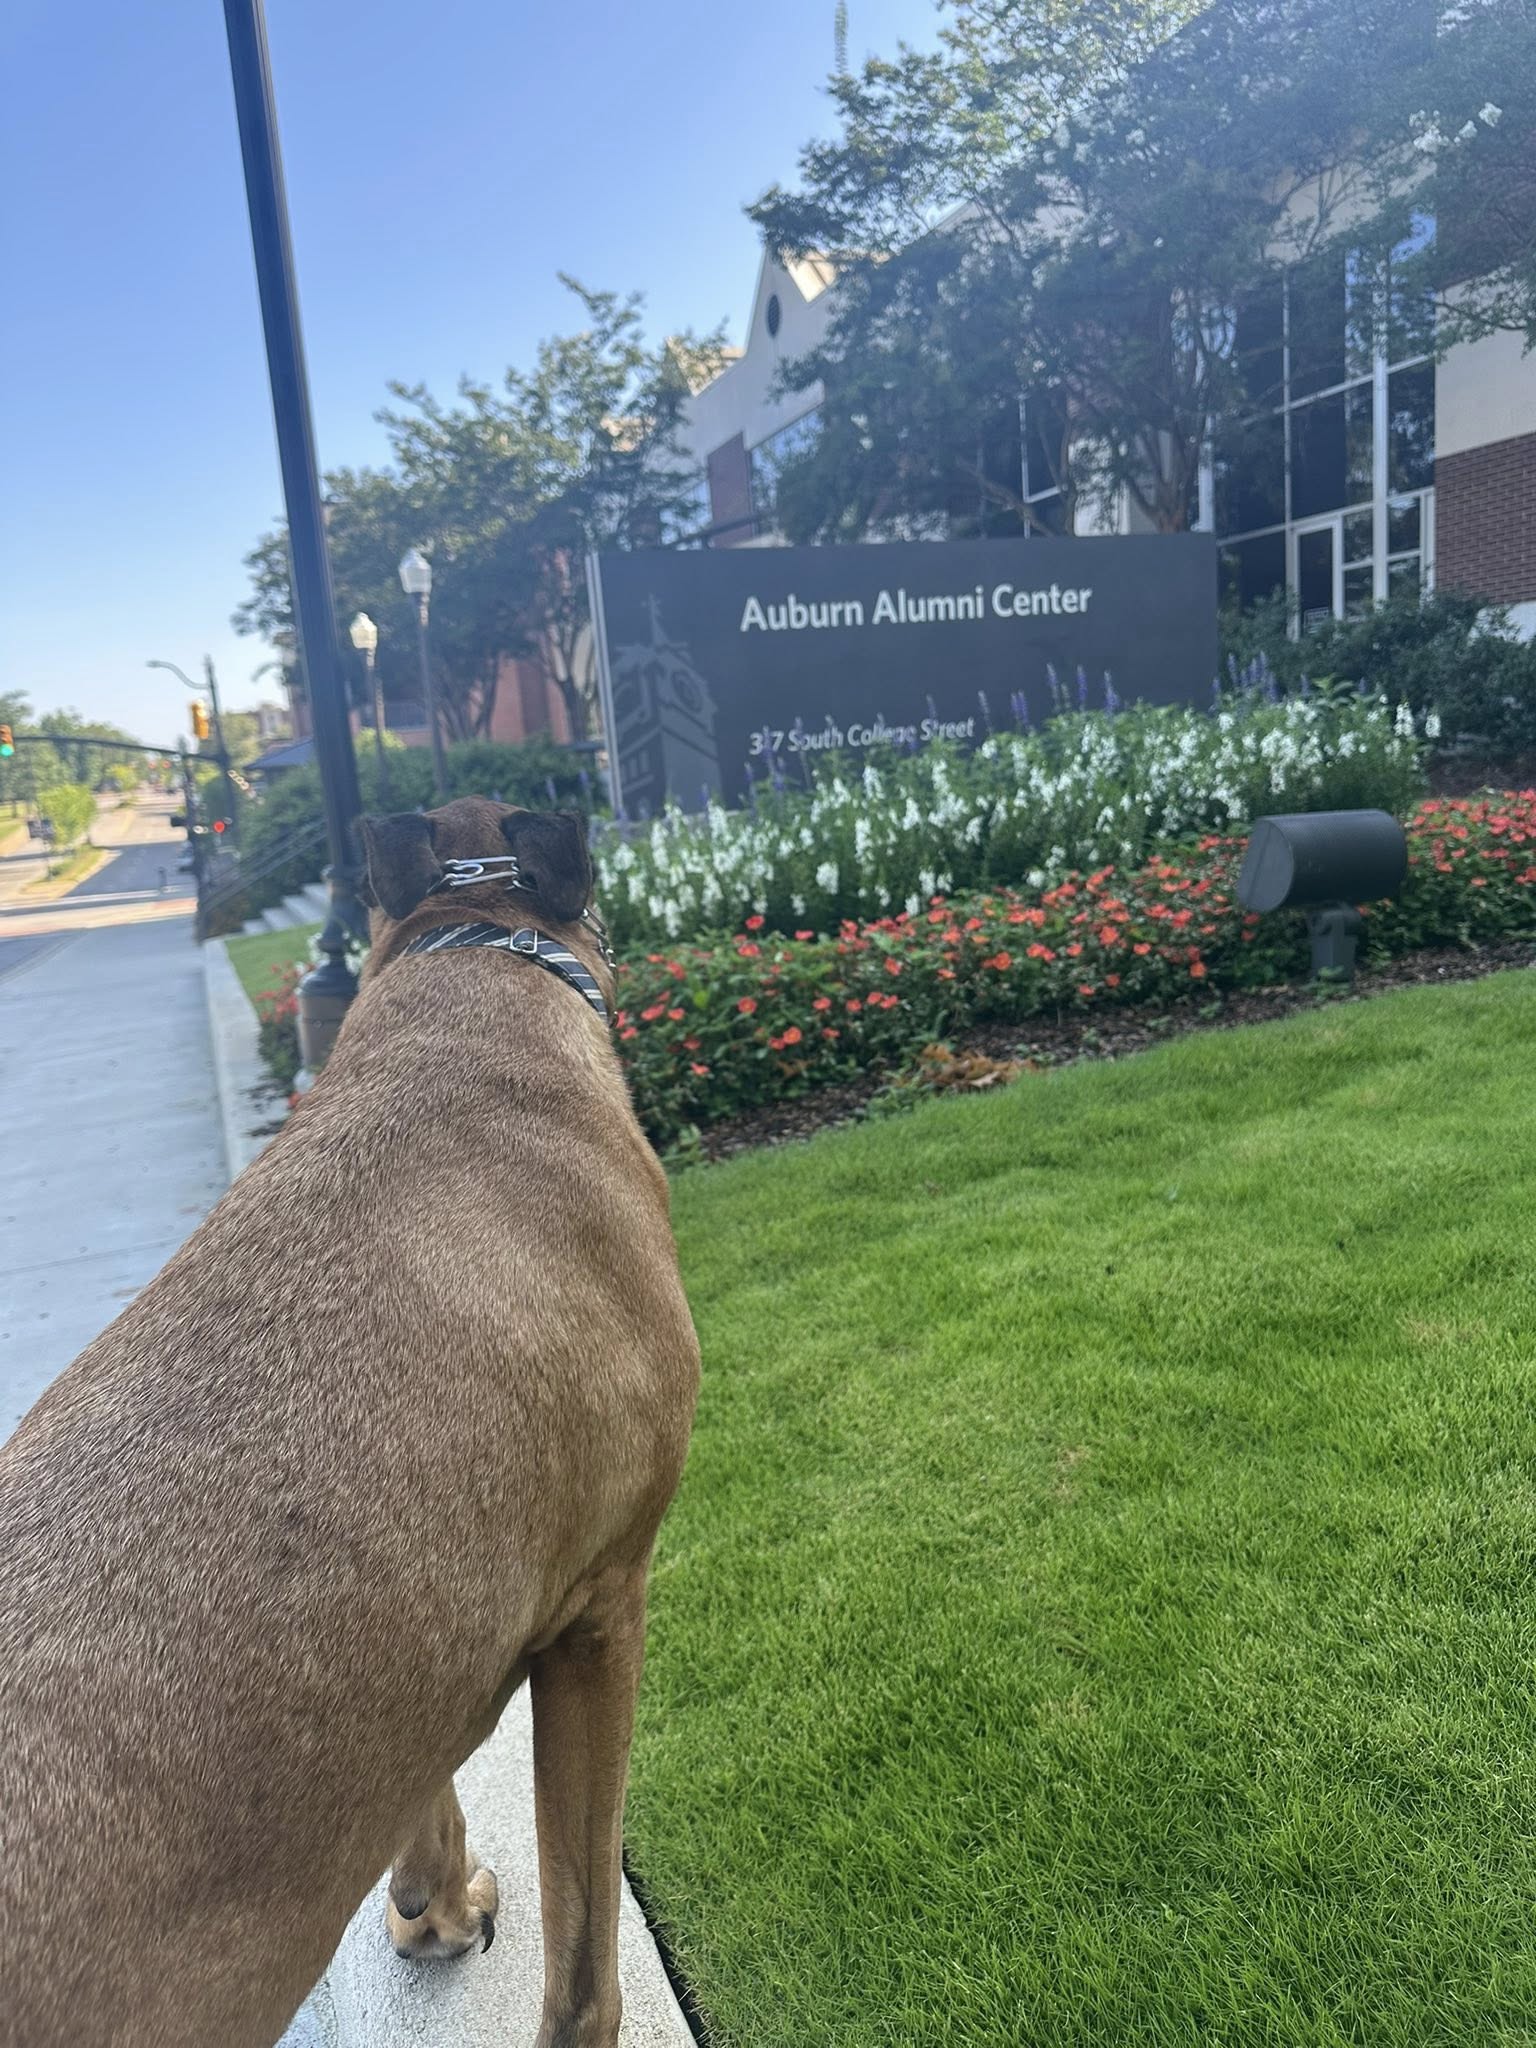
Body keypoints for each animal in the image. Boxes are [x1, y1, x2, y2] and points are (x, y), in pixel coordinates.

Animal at [0, 798, 700, 2048]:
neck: (469, 984)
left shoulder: (431, 1633)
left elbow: (426, 1783)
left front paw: (430, 1902)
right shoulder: (601, 1604)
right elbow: (583, 1967)